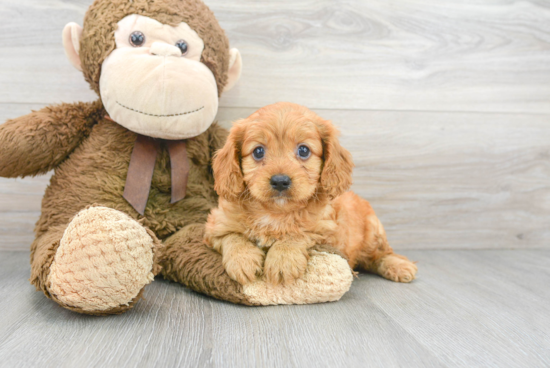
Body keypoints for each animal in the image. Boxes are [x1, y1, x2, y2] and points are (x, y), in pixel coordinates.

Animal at [206, 102, 418, 286]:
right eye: (258, 151)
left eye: (303, 150)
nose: (280, 180)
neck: (276, 213)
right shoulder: (216, 225)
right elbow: (232, 236)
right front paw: (243, 260)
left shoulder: (325, 230)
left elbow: (300, 233)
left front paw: (283, 259)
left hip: (373, 232)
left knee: (381, 254)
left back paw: (399, 266)